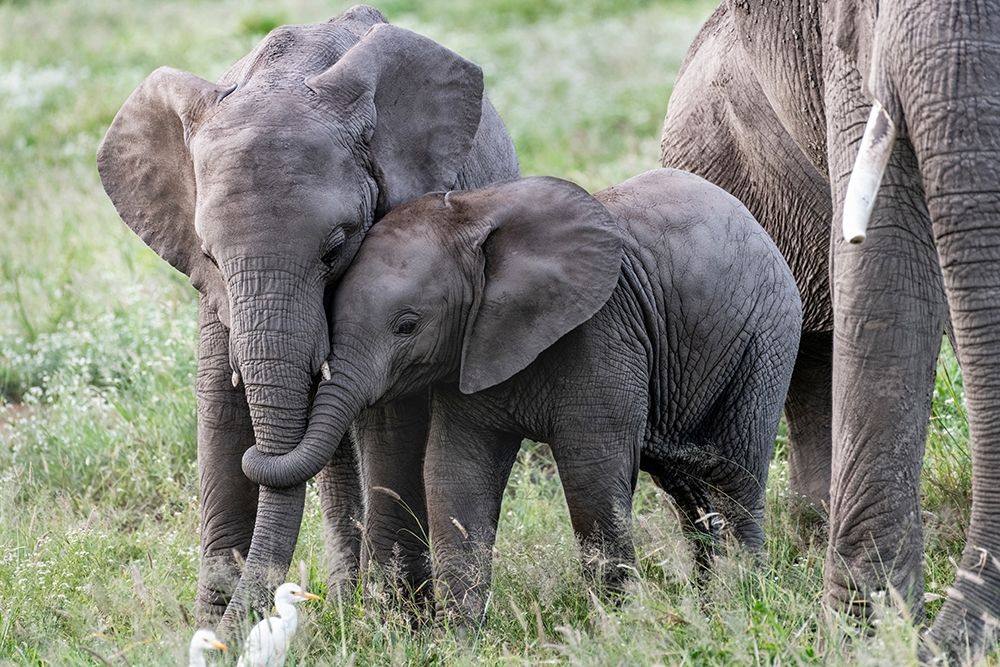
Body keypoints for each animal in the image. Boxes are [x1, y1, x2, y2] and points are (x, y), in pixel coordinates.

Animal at [96, 5, 518, 627]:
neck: (285, 77)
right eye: (210, 256)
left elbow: (391, 417)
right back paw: (343, 602)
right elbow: (219, 408)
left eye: (335, 247)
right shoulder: (214, 296)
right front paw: (210, 630)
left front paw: (396, 627)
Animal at [239, 168, 803, 623]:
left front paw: (618, 628)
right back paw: (712, 604)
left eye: (407, 326)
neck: (476, 217)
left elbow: (593, 475)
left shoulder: (602, 333)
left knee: (737, 472)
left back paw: (744, 599)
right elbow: (456, 472)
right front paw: (460, 641)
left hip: (767, 336)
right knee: (691, 492)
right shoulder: (471, 351)